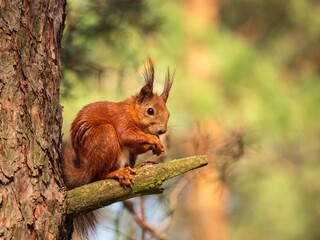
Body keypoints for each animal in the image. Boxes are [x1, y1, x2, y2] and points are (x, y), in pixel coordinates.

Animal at [61, 61, 174, 190]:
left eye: (168, 113)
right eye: (150, 111)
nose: (162, 131)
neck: (130, 112)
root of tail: (86, 169)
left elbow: (134, 147)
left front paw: (157, 146)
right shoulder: (121, 119)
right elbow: (126, 136)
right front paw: (154, 139)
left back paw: (137, 166)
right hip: (105, 134)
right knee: (98, 175)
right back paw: (118, 172)